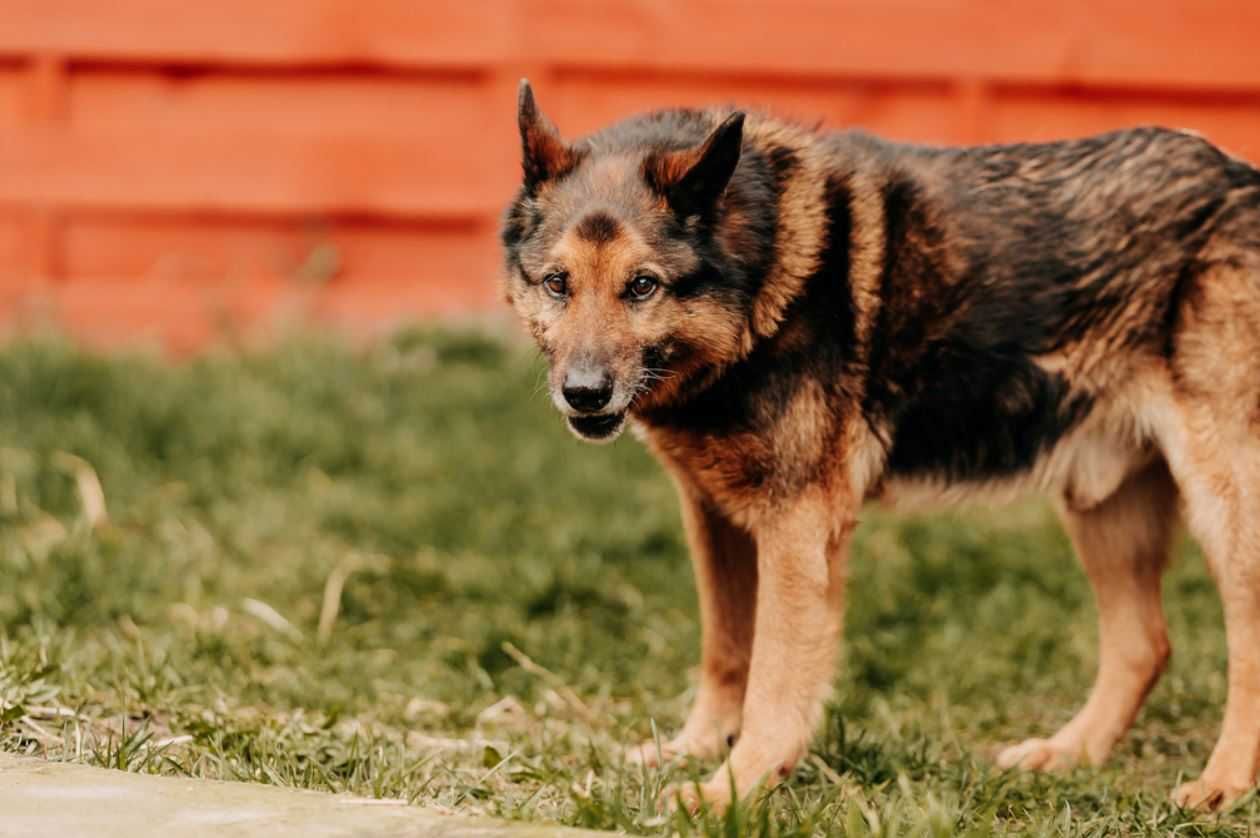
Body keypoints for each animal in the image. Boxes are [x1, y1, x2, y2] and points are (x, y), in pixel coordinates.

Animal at [496, 80, 1260, 811]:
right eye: (558, 283)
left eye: (642, 286)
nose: (583, 394)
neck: (757, 269)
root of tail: (1238, 175)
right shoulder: (715, 517)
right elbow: (726, 650)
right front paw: (699, 748)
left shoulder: (797, 531)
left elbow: (773, 679)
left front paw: (733, 789)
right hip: (1104, 504)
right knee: (1143, 644)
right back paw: (1069, 753)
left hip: (1223, 508)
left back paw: (1221, 784)